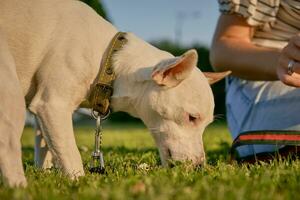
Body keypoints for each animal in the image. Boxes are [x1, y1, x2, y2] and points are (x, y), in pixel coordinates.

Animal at [0, 0, 229, 187]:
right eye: (191, 118)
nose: (200, 166)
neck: (107, 60)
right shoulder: (52, 106)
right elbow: (71, 155)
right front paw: (79, 184)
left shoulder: (44, 113)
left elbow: (46, 148)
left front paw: (47, 176)